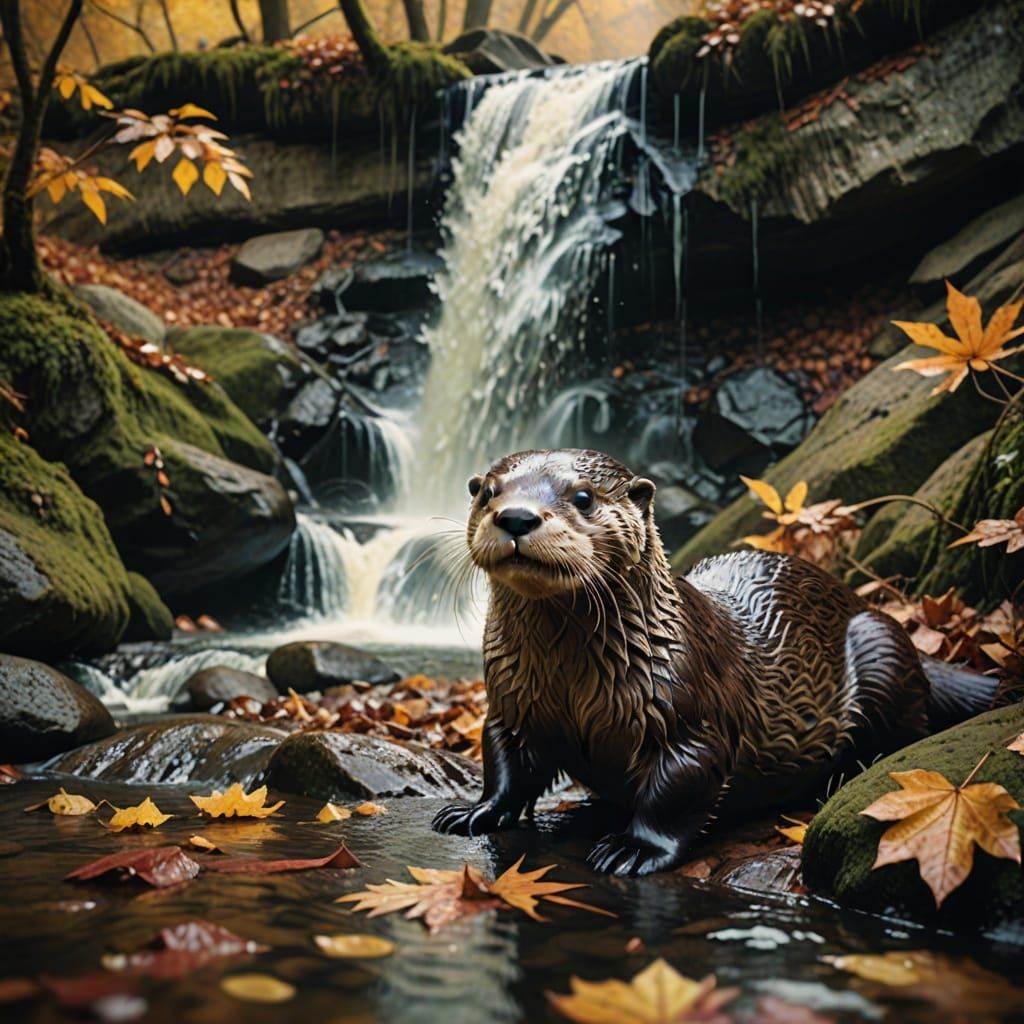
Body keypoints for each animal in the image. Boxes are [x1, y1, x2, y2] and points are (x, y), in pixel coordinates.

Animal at [432, 448, 991, 876]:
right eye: (488, 493)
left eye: (584, 497)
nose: (516, 516)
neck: (571, 683)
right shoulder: (513, 702)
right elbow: (504, 760)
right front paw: (475, 811)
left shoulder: (686, 713)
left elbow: (679, 788)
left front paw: (635, 848)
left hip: (879, 650)